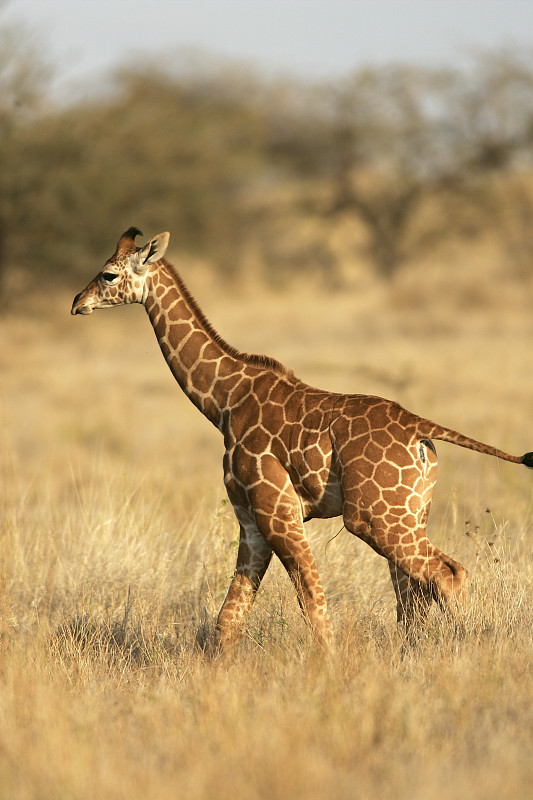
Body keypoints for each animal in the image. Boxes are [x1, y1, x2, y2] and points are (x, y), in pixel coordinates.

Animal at [71, 228, 532, 652]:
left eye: (109, 274)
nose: (77, 303)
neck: (224, 400)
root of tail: (420, 428)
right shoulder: (249, 519)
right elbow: (229, 618)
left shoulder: (277, 511)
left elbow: (310, 601)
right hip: (411, 511)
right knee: (413, 592)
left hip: (372, 517)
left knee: (446, 574)